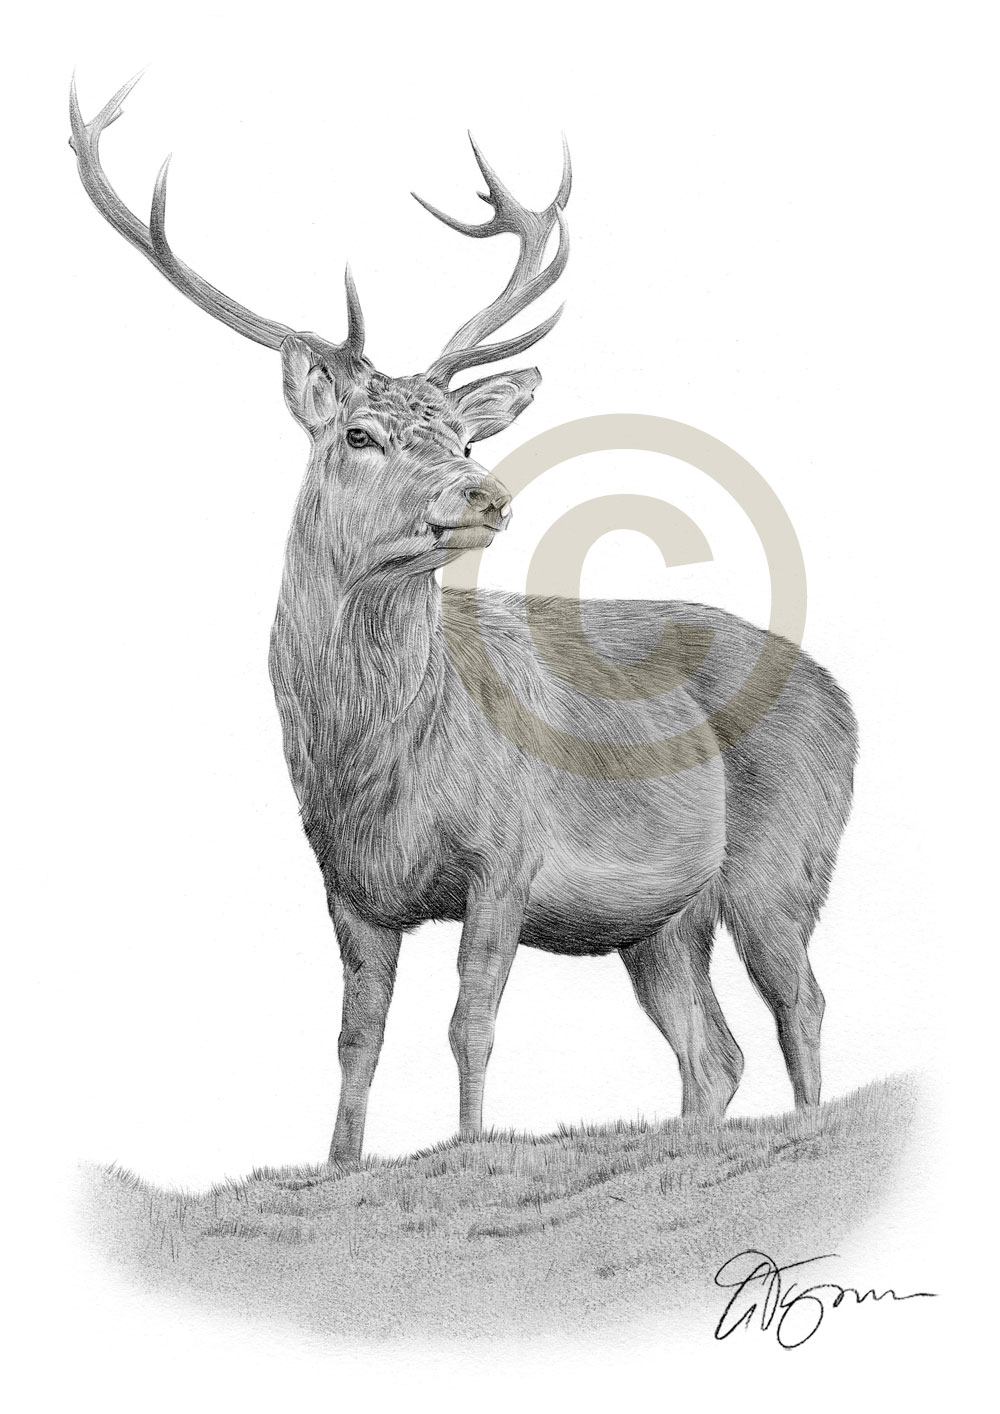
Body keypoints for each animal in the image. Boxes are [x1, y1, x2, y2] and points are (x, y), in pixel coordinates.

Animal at [70, 74, 858, 1168]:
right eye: (360, 434)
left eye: (459, 435)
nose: (485, 492)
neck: (374, 764)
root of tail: (843, 696)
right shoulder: (349, 887)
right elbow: (356, 1035)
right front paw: (341, 1161)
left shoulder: (507, 850)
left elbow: (470, 1019)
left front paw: (473, 1145)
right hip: (660, 921)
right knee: (714, 1050)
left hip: (782, 859)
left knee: (802, 1001)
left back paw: (812, 1131)